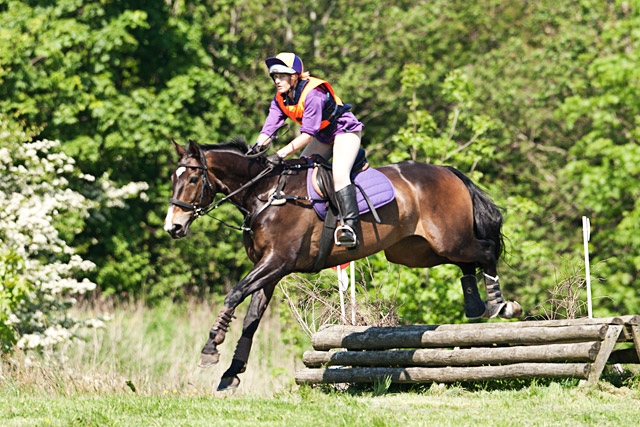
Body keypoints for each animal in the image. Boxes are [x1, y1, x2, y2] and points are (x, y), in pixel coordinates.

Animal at [164, 137, 520, 392]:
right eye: (173, 177)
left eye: (193, 178)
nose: (173, 227)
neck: (265, 194)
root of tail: (448, 171)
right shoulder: (270, 272)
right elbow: (252, 318)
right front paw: (231, 372)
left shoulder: (278, 262)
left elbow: (234, 294)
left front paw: (210, 348)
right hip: (418, 250)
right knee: (467, 263)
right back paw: (476, 306)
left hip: (448, 239)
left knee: (486, 251)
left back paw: (502, 306)